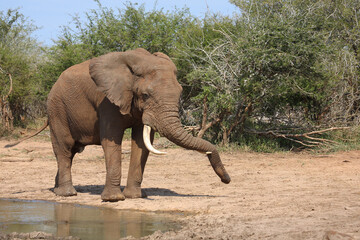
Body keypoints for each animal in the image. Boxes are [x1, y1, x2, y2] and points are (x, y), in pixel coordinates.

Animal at [45, 47, 231, 202]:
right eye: (146, 95)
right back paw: (67, 193)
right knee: (65, 147)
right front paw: (113, 199)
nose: (227, 179)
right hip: (57, 108)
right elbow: (112, 141)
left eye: (180, 93)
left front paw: (134, 196)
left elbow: (141, 143)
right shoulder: (108, 101)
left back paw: (56, 189)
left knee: (71, 152)